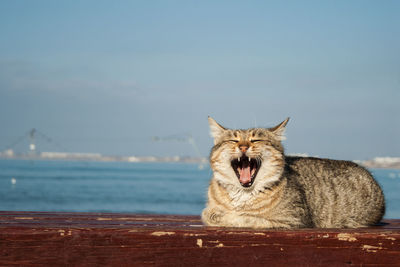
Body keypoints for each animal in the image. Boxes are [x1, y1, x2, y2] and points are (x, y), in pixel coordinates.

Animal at [202, 118, 386, 229]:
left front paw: (226, 216)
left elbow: (244, 218)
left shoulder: (292, 220)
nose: (243, 147)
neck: (243, 194)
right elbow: (210, 214)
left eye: (256, 140)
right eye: (233, 140)